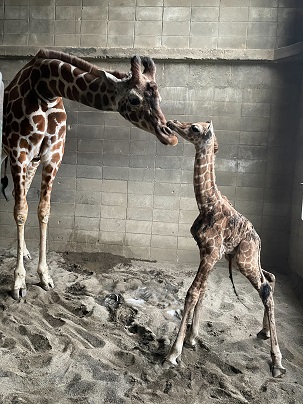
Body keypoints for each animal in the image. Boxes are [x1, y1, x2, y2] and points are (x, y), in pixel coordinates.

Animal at [1, 48, 178, 300]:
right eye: (134, 99)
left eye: (160, 99)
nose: (169, 135)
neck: (45, 89)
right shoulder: (19, 153)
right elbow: (21, 211)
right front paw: (18, 283)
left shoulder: (51, 157)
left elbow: (42, 210)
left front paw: (45, 276)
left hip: (27, 162)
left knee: (20, 194)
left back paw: (25, 251)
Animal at [166, 120, 288, 378]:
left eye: (194, 128)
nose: (172, 123)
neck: (206, 203)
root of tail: (258, 239)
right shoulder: (207, 253)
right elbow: (202, 290)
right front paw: (192, 339)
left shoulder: (211, 254)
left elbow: (192, 292)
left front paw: (173, 353)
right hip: (246, 259)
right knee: (270, 279)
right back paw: (264, 332)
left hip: (245, 260)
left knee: (265, 288)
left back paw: (277, 362)